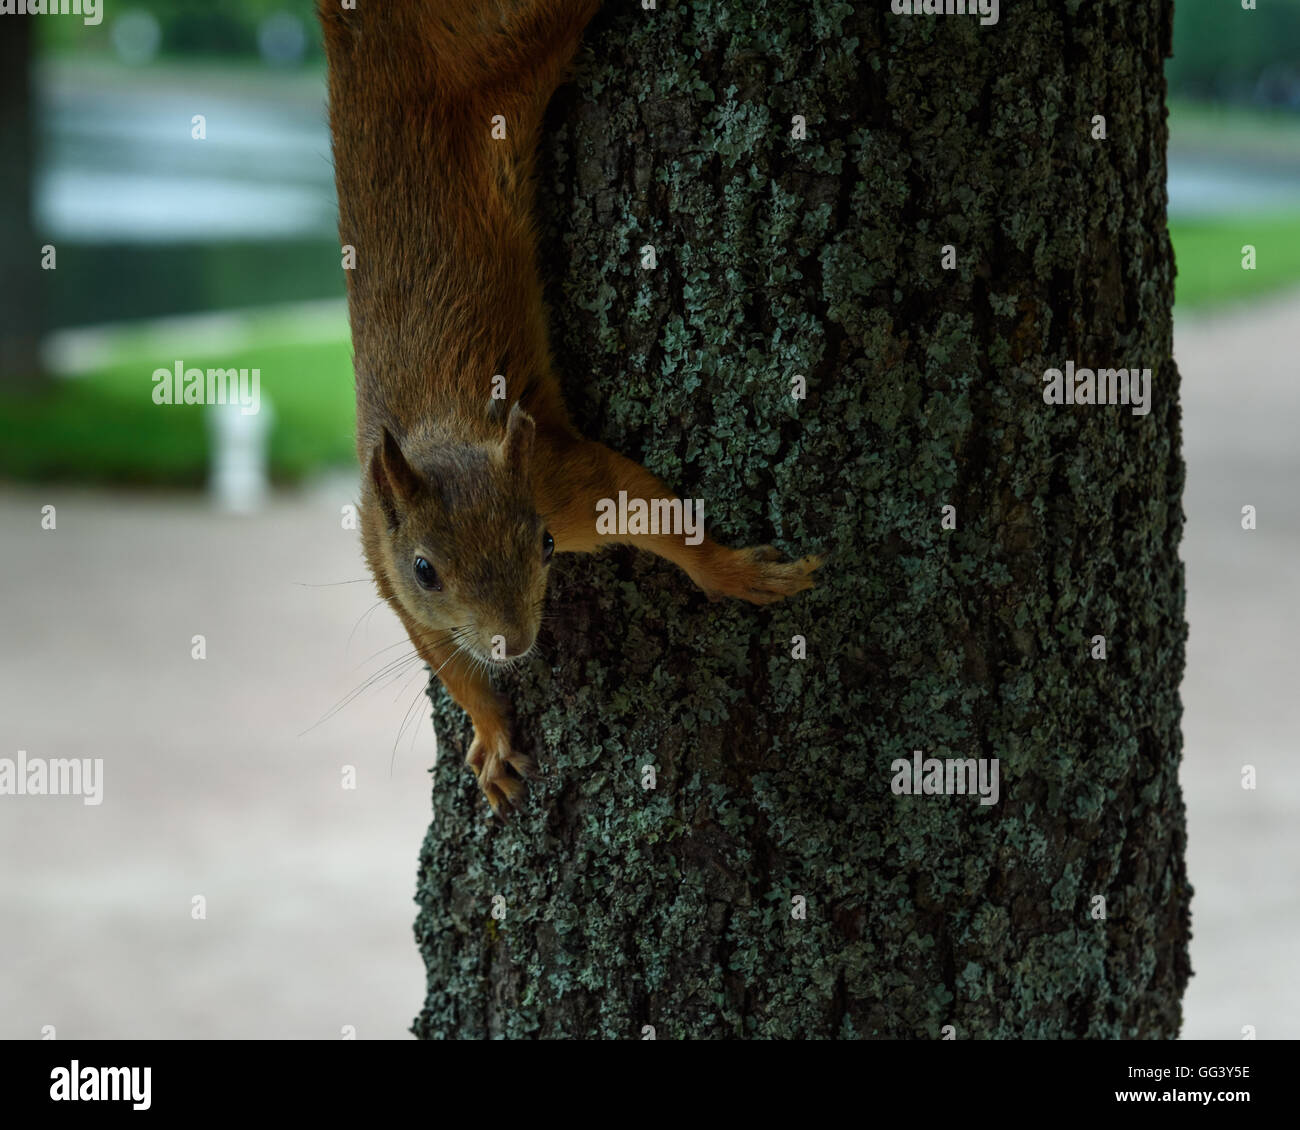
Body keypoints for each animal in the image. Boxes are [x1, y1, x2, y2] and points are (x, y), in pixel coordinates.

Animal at [318, 0, 816, 811]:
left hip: (501, 35)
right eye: (425, 570)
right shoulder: (380, 558)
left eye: (546, 544)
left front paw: (738, 575)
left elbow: (652, 512)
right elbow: (440, 653)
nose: (515, 644)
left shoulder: (561, 480)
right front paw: (491, 733)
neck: (447, 435)